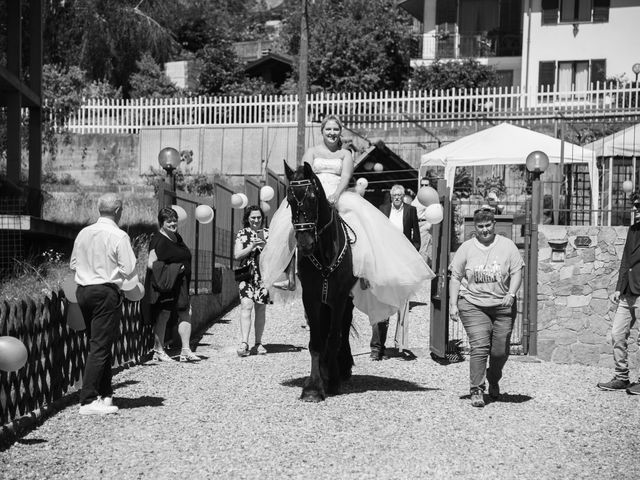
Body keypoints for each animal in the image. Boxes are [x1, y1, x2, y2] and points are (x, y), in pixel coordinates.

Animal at [286, 160, 360, 402]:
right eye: (289, 200)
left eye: (312, 197)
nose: (305, 244)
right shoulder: (310, 298)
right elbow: (316, 342)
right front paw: (313, 387)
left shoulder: (339, 298)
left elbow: (334, 336)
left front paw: (333, 380)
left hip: (347, 300)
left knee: (343, 328)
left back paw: (342, 367)